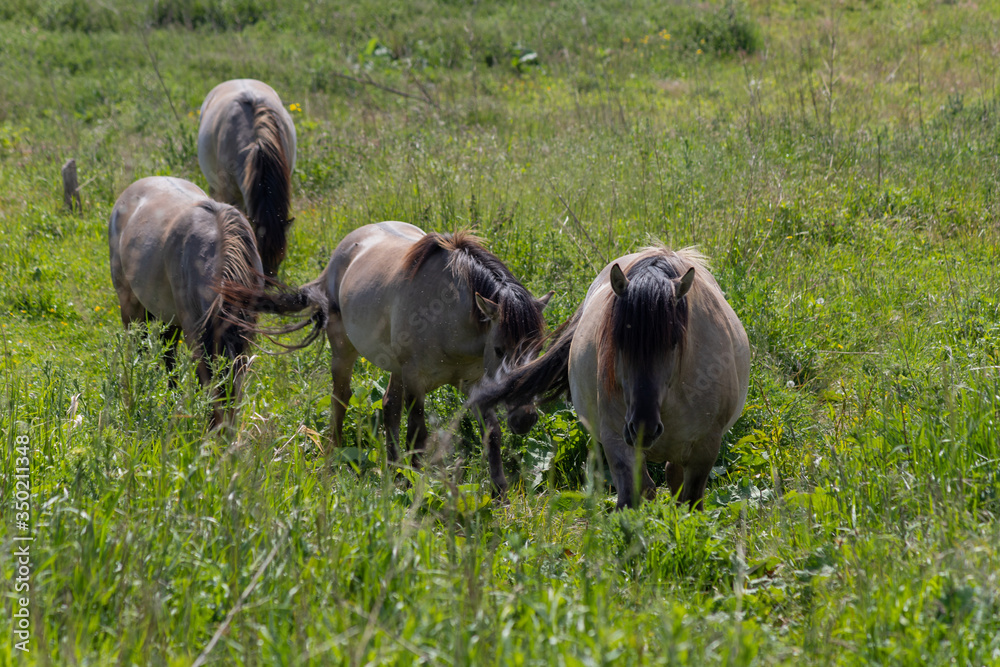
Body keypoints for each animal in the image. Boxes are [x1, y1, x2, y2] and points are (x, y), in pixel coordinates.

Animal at [108, 176, 266, 429]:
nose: (223, 434)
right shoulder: (197, 332)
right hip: (131, 307)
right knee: (138, 349)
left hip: (169, 316)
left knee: (168, 355)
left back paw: (171, 403)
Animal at [230, 221, 552, 495]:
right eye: (499, 349)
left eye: (538, 350)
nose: (525, 418)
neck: (450, 315)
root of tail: (339, 255)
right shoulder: (416, 379)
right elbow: (418, 434)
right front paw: (413, 486)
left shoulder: (476, 383)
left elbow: (492, 433)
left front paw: (500, 494)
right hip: (345, 350)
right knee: (341, 398)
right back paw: (335, 455)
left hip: (396, 368)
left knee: (388, 406)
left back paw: (394, 469)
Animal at [470, 247, 750, 509]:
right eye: (620, 341)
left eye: (673, 342)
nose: (644, 427)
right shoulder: (616, 440)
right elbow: (630, 498)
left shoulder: (706, 448)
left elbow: (691, 500)